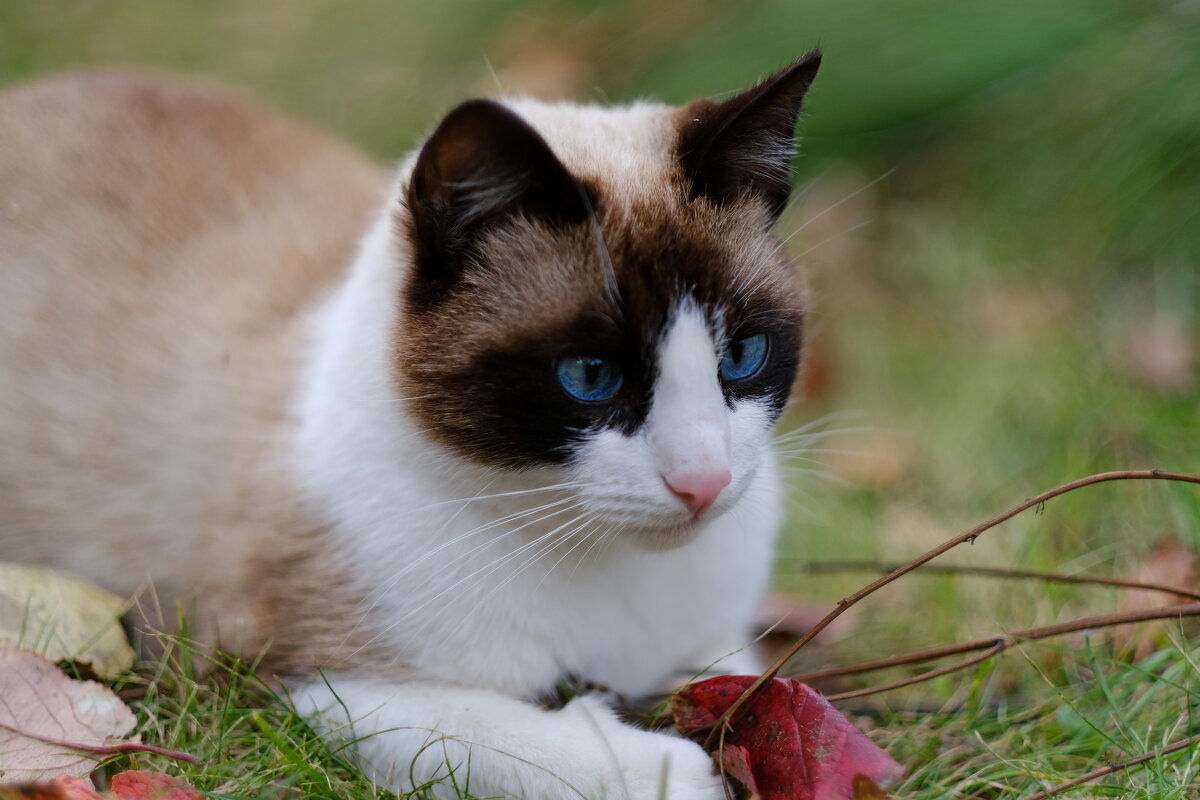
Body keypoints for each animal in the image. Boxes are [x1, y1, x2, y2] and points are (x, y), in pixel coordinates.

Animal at [0, 51, 820, 800]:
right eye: (589, 375)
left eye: (742, 356)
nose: (703, 481)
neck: (610, 566)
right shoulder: (308, 683)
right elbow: (552, 751)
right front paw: (683, 769)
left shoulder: (716, 645)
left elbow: (740, 683)